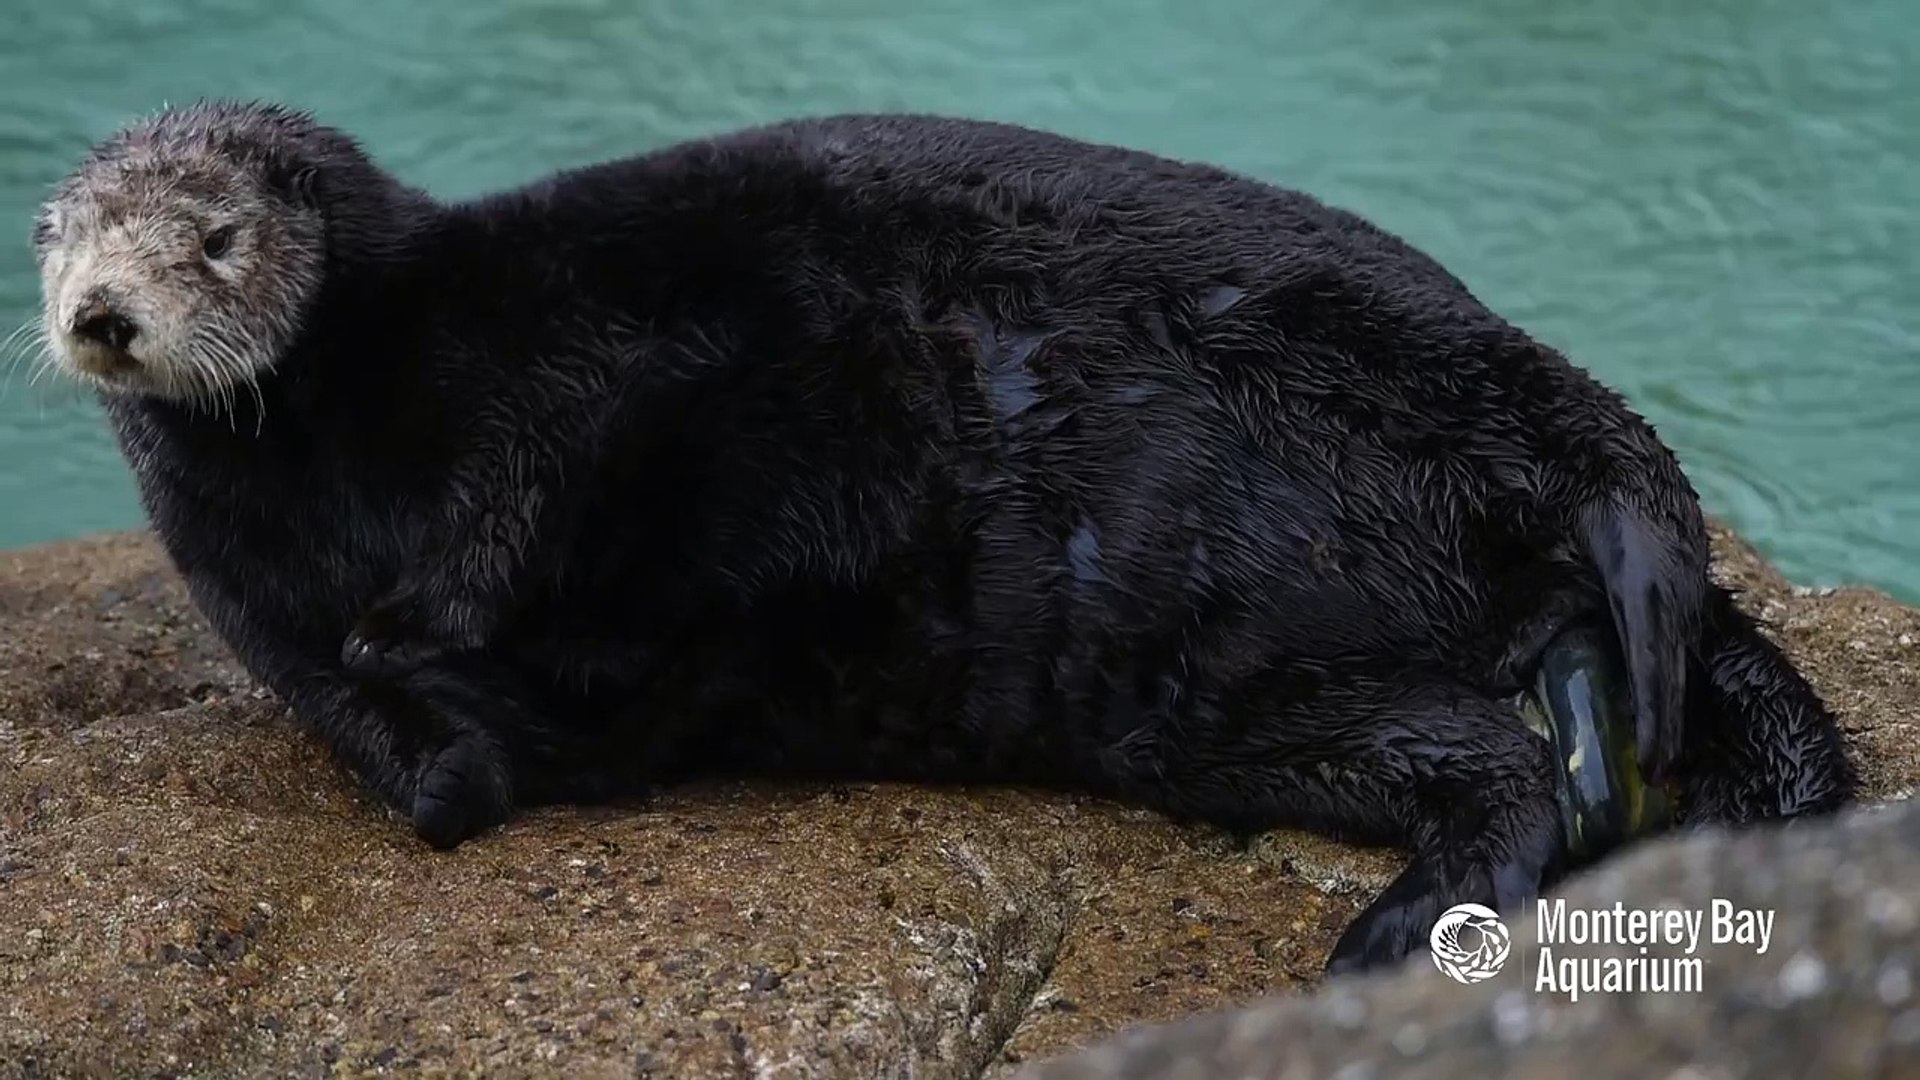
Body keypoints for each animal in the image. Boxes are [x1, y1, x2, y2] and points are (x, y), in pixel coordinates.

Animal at [33, 100, 1858, 972]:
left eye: (210, 237)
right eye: (63, 240)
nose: (100, 317)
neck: (354, 423)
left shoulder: (556, 367)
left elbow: (544, 513)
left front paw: (483, 645)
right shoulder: (259, 612)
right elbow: (410, 761)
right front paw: (476, 718)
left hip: (1370, 391)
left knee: (1602, 503)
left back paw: (1404, 926)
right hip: (1234, 694)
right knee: (1492, 740)